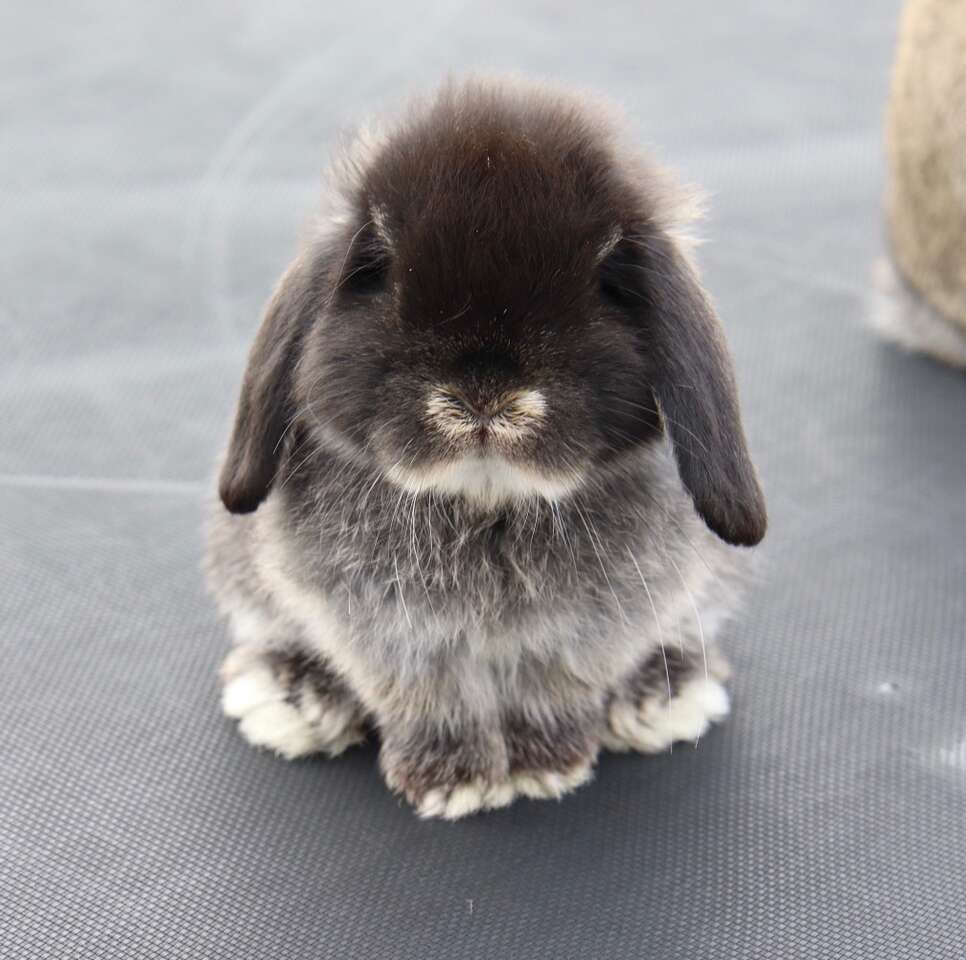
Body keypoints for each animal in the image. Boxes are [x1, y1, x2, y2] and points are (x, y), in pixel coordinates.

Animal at [208, 79, 768, 820]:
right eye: (378, 267)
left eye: (608, 280)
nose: (484, 395)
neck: (487, 501)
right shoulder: (390, 638)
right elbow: (430, 699)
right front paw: (453, 780)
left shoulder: (586, 634)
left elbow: (551, 692)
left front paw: (546, 765)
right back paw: (293, 695)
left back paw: (666, 692)